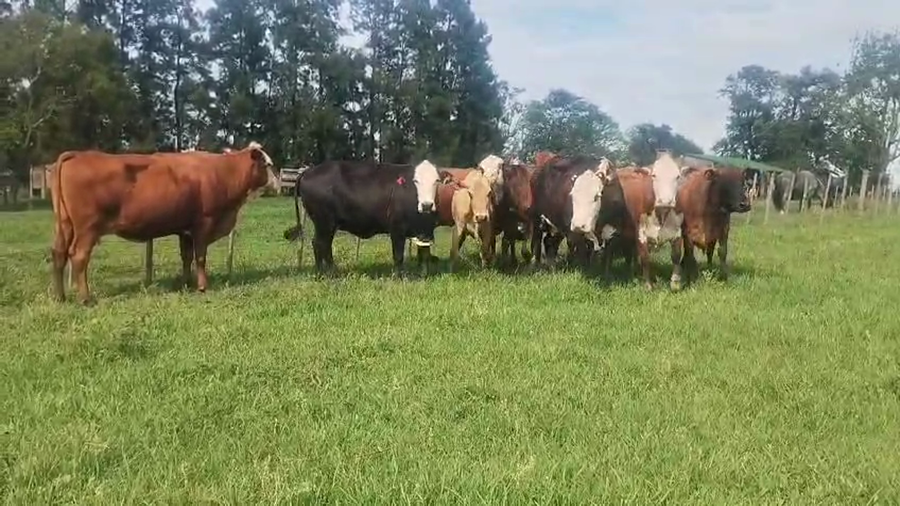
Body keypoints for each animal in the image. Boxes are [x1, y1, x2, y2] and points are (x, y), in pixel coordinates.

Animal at [49, 142, 277, 304]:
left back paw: (60, 297)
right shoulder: (204, 224)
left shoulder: (185, 230)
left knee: (59, 253)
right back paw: (85, 298)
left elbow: (187, 257)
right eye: (268, 165)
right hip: (87, 229)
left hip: (65, 225)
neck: (223, 172)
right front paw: (202, 286)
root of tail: (77, 154)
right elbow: (200, 257)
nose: (277, 184)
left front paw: (186, 283)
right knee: (79, 257)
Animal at [282, 159, 442, 277]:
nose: (427, 205)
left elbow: (424, 253)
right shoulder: (397, 228)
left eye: (437, 181)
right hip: (324, 222)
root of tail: (308, 171)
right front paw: (399, 276)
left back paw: (330, 271)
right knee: (320, 244)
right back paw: (325, 273)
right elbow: (398, 255)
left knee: (324, 245)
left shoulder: (424, 231)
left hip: (327, 225)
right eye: (416, 181)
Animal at [596, 150, 690, 290]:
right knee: (609, 251)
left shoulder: (677, 232)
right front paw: (648, 285)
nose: (665, 201)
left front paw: (675, 283)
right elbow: (645, 258)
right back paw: (608, 274)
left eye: (677, 177)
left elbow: (676, 256)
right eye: (654, 176)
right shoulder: (641, 233)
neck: (661, 214)